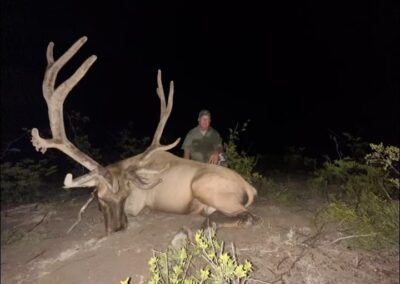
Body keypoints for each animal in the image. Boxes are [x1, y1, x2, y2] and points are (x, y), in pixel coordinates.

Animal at [30, 36, 256, 235]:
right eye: (101, 198)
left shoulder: (137, 204)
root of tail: (250, 188)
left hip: (205, 187)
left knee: (250, 217)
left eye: (125, 195)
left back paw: (206, 226)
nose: (117, 228)